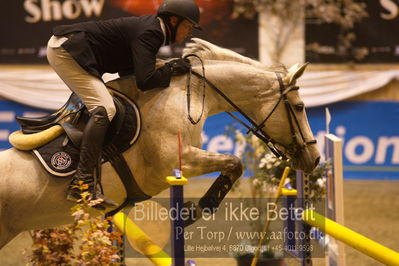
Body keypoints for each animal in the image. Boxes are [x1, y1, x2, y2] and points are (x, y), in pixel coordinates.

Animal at [0, 38, 320, 248]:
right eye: (300, 107)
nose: (315, 158)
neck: (190, 94)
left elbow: (233, 164)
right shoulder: (177, 161)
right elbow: (235, 162)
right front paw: (196, 210)